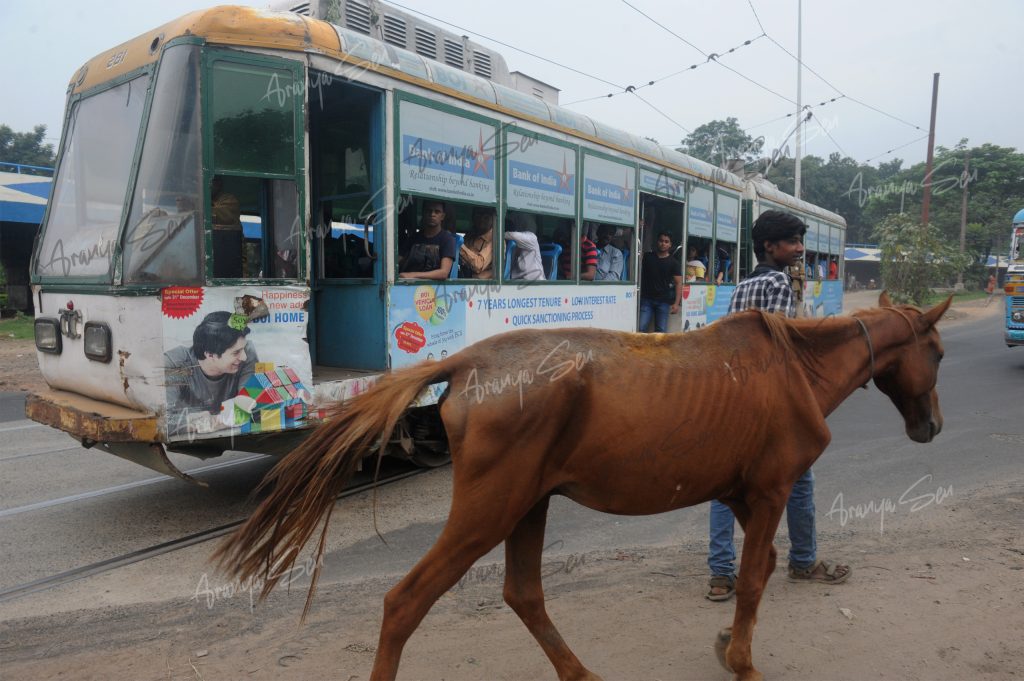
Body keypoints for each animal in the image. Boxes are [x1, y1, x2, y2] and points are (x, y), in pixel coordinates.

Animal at [215, 292, 951, 681]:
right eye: (938, 352)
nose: (933, 426)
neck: (793, 367)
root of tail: (468, 362)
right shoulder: (770, 490)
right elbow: (749, 579)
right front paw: (742, 659)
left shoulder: (745, 495)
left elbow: (761, 565)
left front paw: (726, 642)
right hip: (491, 510)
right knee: (405, 601)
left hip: (528, 504)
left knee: (523, 594)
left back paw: (578, 671)